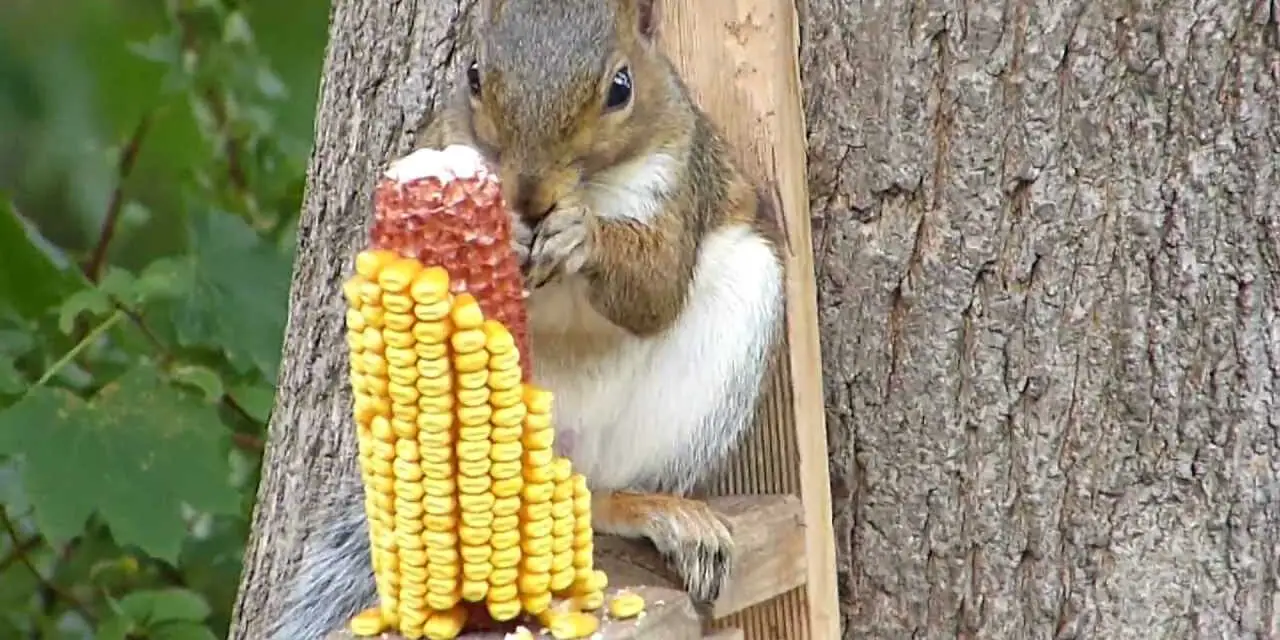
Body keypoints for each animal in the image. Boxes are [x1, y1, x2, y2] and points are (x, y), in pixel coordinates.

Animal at [271, 2, 783, 637]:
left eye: (621, 88)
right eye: (472, 76)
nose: (530, 197)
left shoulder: (682, 181)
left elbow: (655, 289)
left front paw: (582, 234)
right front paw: (504, 232)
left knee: (601, 497)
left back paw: (660, 515)